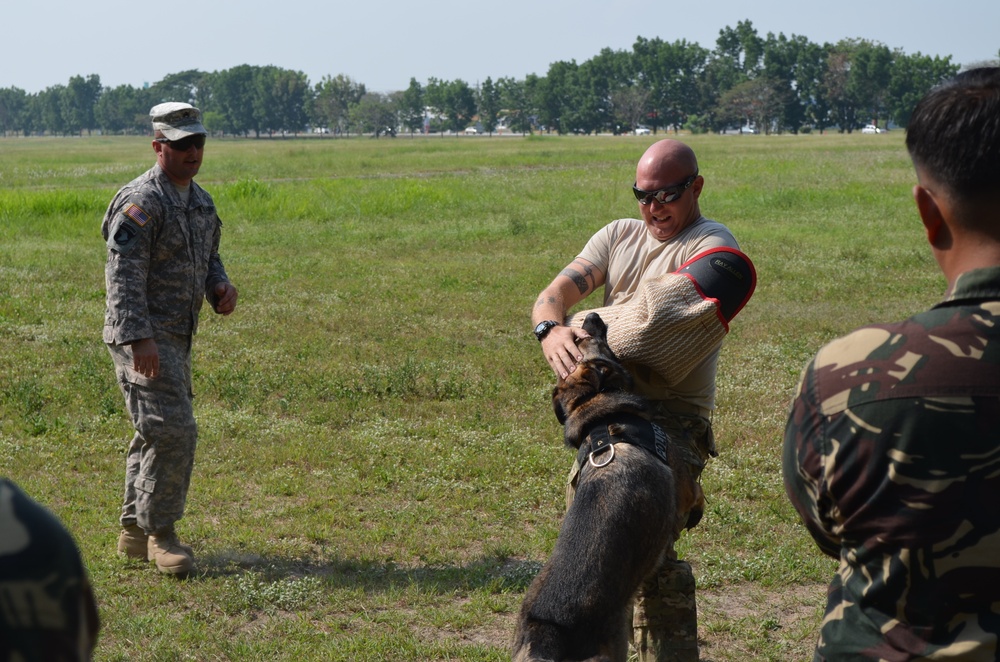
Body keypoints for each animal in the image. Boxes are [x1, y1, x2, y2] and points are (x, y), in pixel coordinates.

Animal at [512, 312, 700, 662]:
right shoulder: (682, 482)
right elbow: (695, 494)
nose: (592, 315)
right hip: (613, 641)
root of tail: (549, 625)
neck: (600, 416)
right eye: (582, 338)